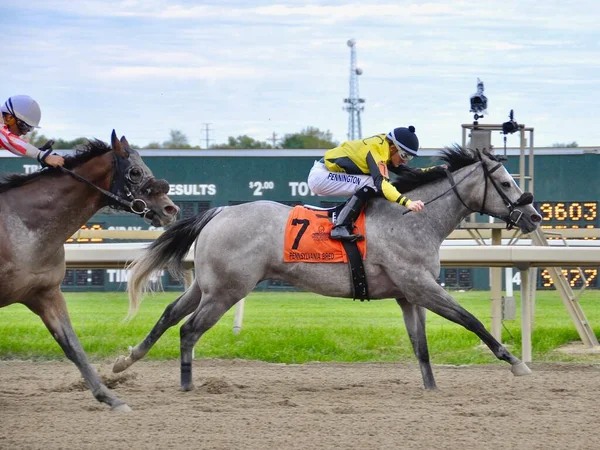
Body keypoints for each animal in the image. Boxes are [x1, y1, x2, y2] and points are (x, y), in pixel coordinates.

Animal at [115, 148, 540, 390]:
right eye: (505, 182)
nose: (534, 215)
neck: (413, 218)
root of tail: (218, 212)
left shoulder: (409, 294)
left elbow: (420, 344)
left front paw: (431, 389)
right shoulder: (421, 285)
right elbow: (471, 320)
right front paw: (517, 364)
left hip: (208, 285)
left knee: (170, 315)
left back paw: (125, 361)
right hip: (227, 291)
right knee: (188, 329)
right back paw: (187, 384)